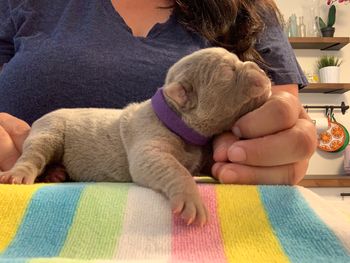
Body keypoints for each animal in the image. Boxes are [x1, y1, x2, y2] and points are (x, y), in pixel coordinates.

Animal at [0, 47, 270, 227]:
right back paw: (21, 174)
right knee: (33, 155)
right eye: (228, 72)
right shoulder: (149, 145)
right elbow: (174, 169)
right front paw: (191, 199)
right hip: (49, 131)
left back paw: (56, 174)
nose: (259, 67)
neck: (175, 118)